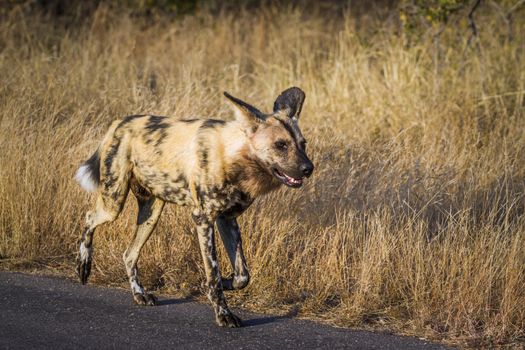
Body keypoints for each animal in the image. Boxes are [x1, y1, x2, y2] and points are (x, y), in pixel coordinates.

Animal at [75, 86, 314, 326]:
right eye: (280, 145)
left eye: (303, 144)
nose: (308, 168)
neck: (233, 158)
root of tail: (119, 122)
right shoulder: (204, 219)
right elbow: (213, 274)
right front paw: (223, 313)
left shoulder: (226, 219)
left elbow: (242, 276)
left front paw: (226, 283)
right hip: (113, 202)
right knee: (88, 218)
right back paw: (83, 265)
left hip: (152, 212)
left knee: (129, 254)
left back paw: (139, 294)